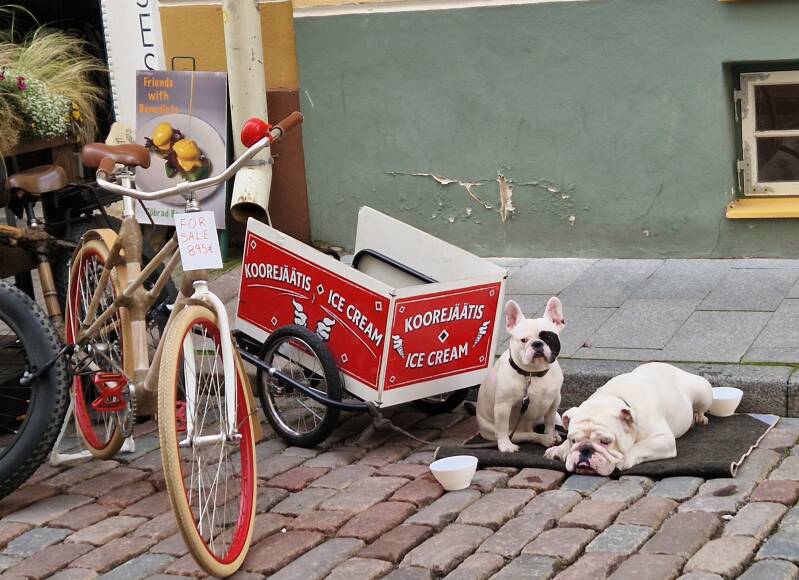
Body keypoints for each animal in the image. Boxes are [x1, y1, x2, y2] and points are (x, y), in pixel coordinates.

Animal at [477, 297, 565, 453]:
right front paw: (505, 445)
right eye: (524, 340)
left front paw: (550, 433)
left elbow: (549, 422)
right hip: (501, 430)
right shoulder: (503, 406)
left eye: (548, 337)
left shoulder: (554, 401)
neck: (533, 374)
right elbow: (502, 427)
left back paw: (553, 435)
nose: (537, 344)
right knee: (527, 435)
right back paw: (543, 439)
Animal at [544, 362, 713, 475]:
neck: (611, 398)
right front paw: (559, 449)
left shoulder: (663, 439)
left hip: (703, 392)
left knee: (701, 407)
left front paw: (624, 459)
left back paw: (698, 417)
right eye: (573, 440)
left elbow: (640, 446)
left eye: (606, 442)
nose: (585, 449)